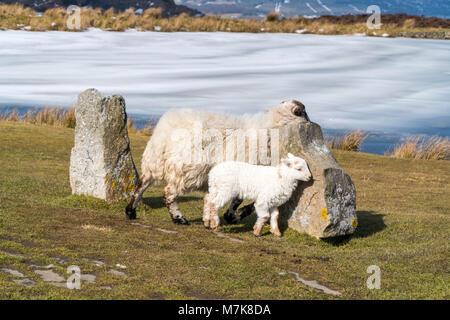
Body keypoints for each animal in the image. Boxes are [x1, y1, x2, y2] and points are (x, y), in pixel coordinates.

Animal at [125, 100, 310, 225]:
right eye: (303, 112)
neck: (274, 128)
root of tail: (166, 131)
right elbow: (243, 200)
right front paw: (237, 214)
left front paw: (232, 216)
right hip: (190, 170)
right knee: (168, 192)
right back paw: (179, 218)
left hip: (154, 162)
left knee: (141, 184)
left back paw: (130, 211)